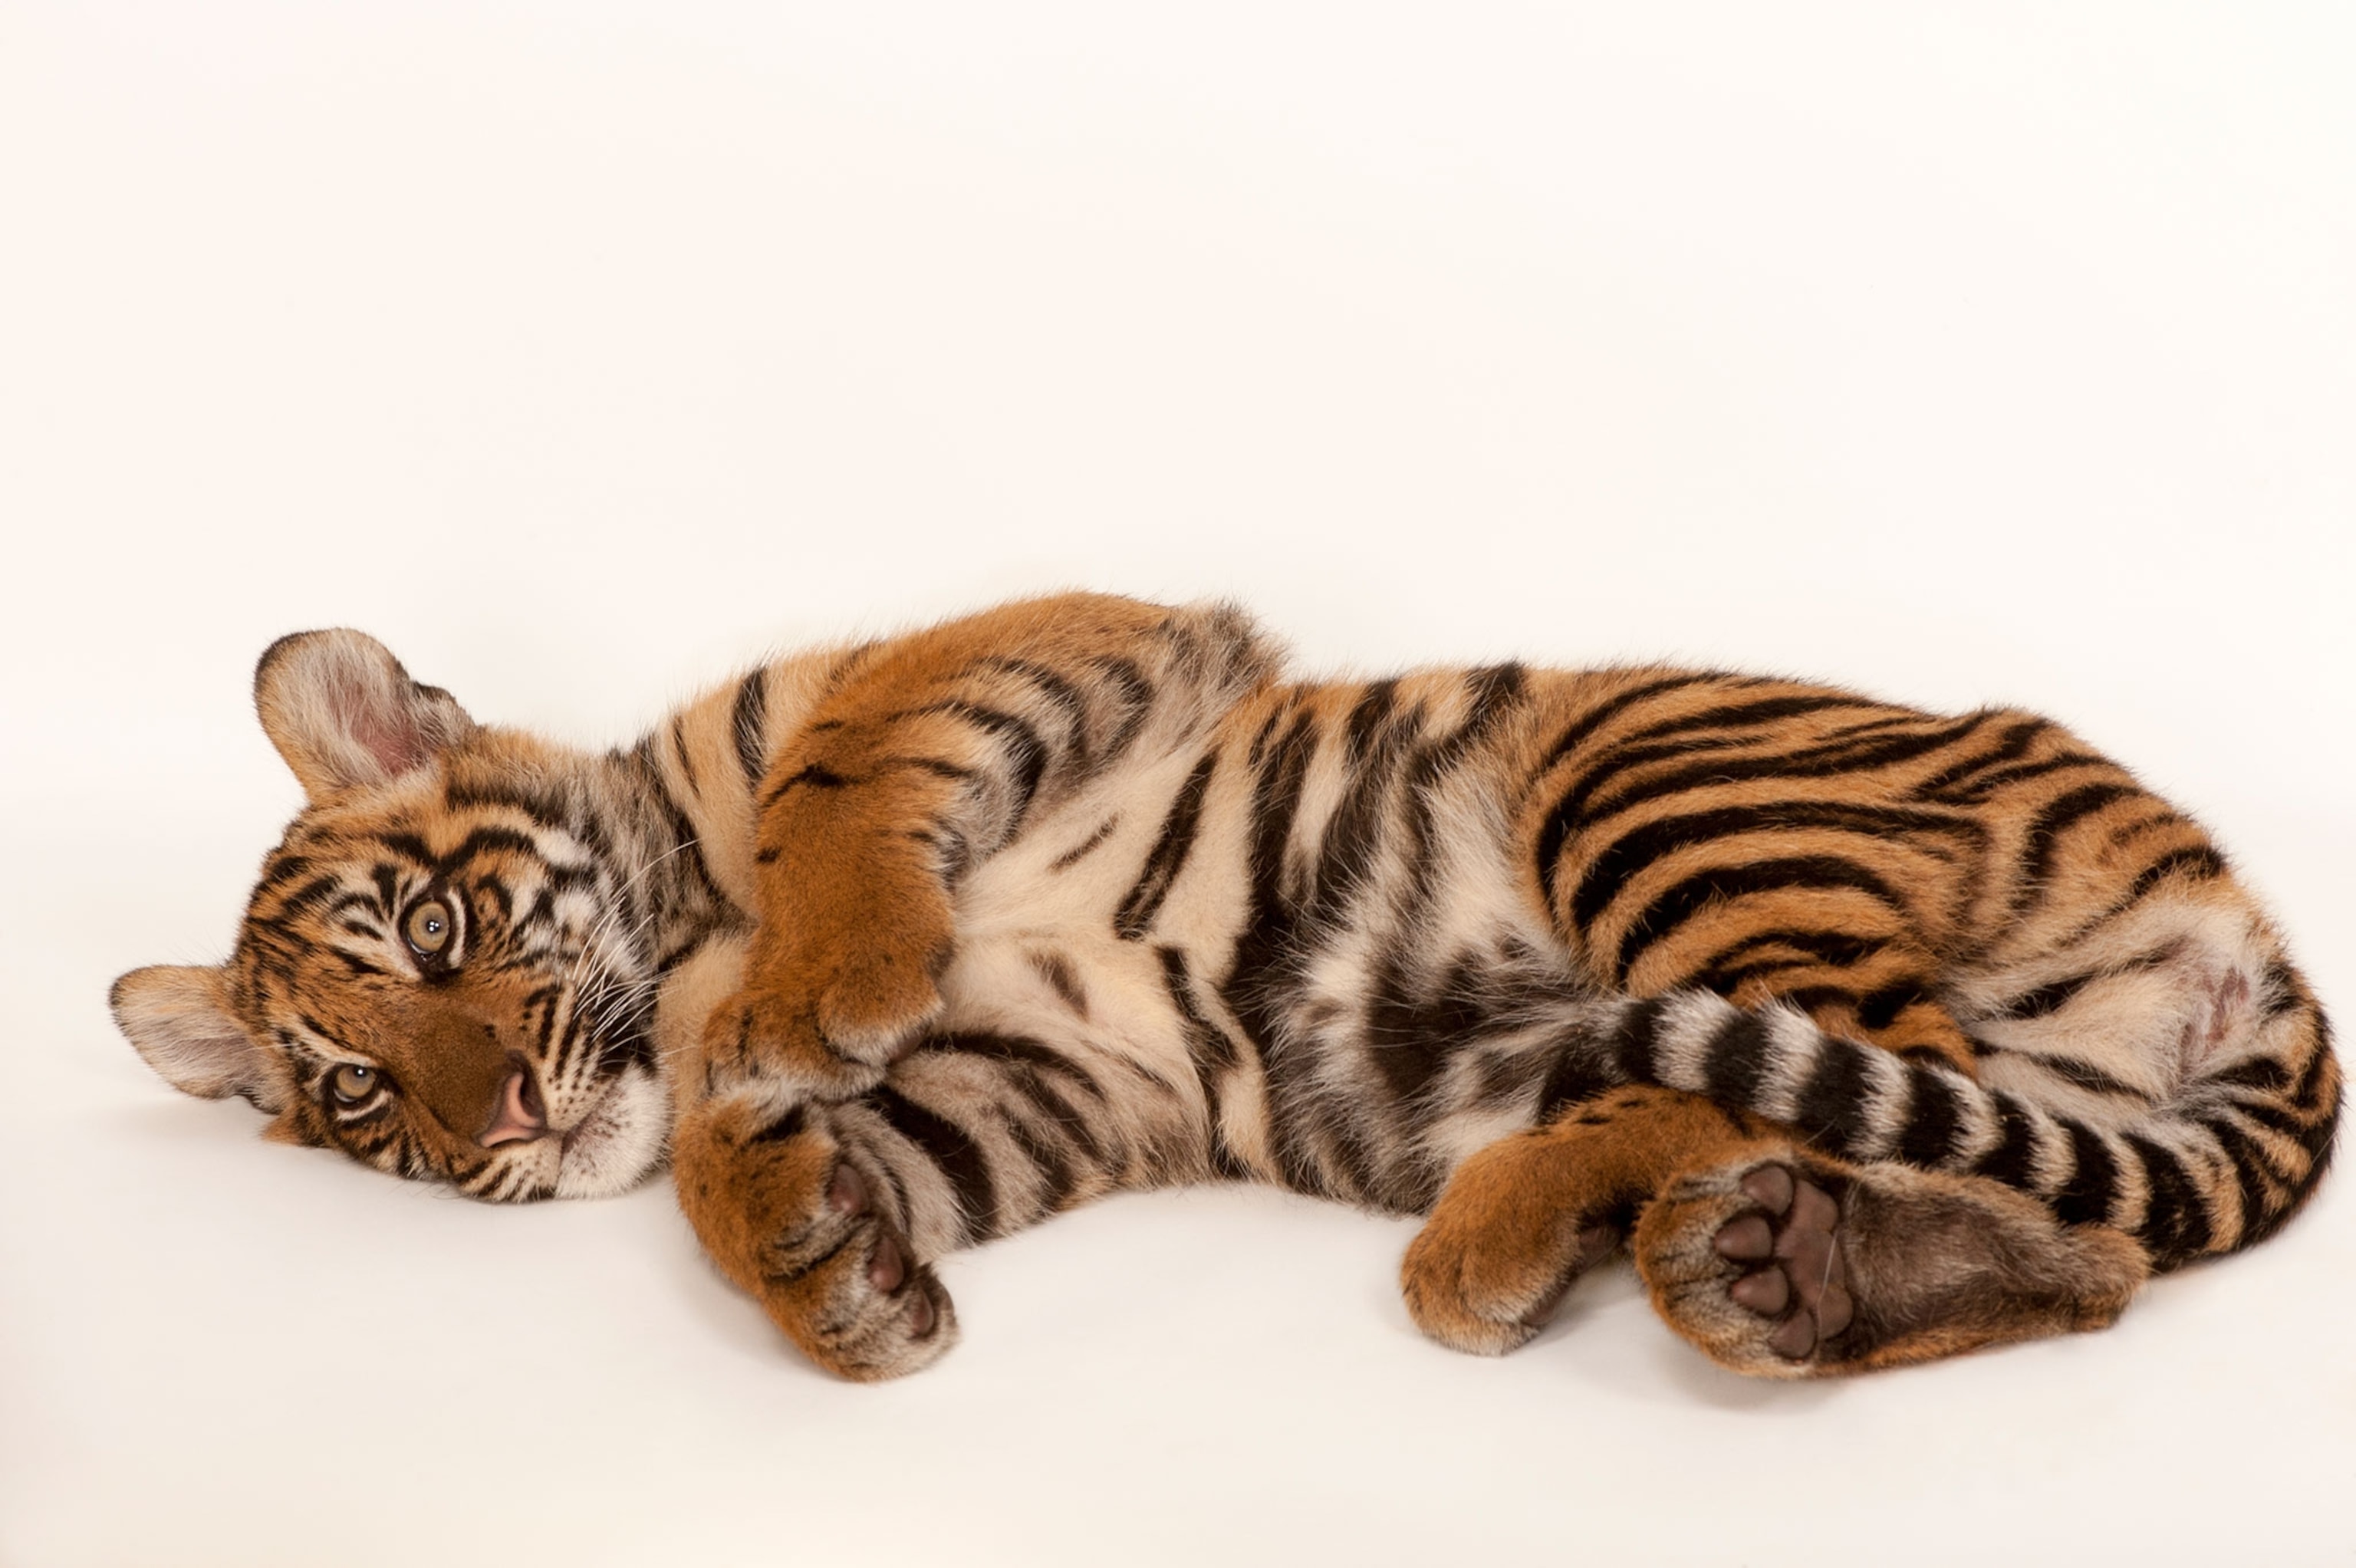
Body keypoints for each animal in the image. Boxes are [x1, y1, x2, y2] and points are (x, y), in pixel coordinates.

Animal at [111, 593, 2340, 1382]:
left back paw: (1507, 1233)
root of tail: (2238, 927)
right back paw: (1772, 1273)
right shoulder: (1058, 1068)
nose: (496, 1110)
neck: (679, 949)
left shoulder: (1031, 642)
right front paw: (828, 1266)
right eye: (357, 1093)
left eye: (433, 938)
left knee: (1832, 1053)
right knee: (2066, 1225)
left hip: (1655, 778)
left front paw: (811, 1001)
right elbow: (768, 1178)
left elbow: (841, 777)